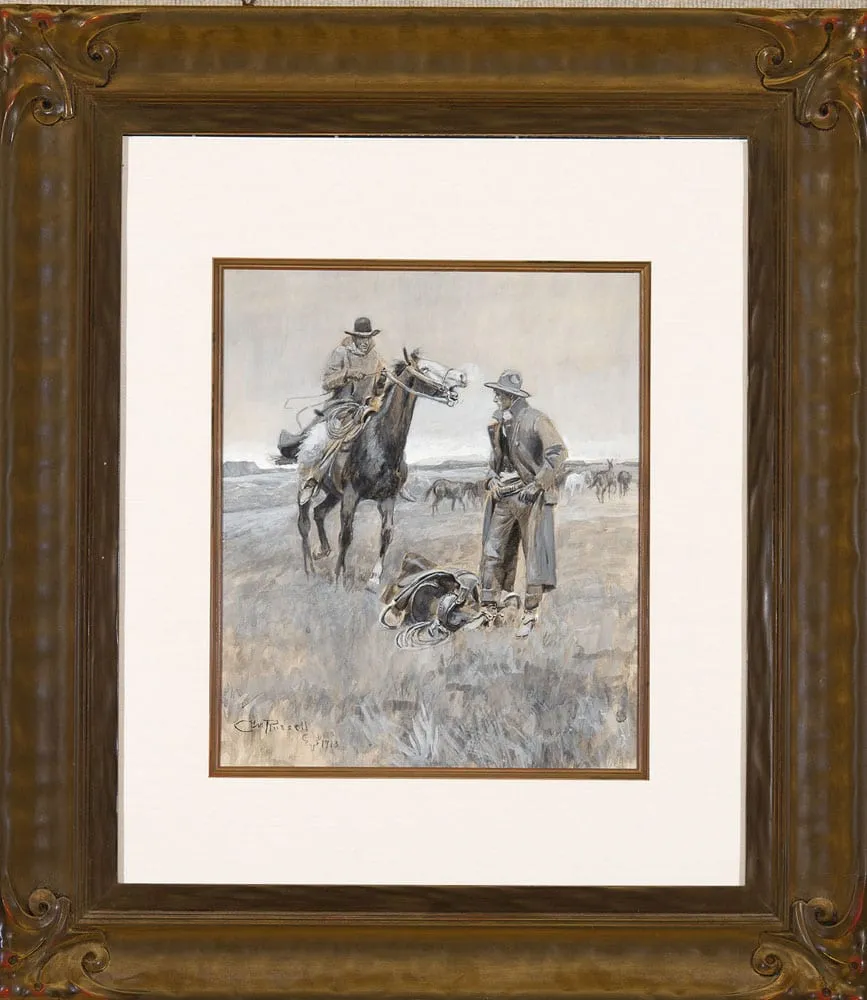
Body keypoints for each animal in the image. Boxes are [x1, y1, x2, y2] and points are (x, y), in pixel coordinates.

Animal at [294, 349, 466, 587]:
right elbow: (346, 535)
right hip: (308, 486)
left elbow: (386, 533)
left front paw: (374, 578)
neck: (380, 443)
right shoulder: (351, 495)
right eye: (425, 368)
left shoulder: (387, 498)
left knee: (319, 513)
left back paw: (323, 551)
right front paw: (339, 577)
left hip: (334, 493)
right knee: (304, 524)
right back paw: (310, 569)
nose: (462, 377)